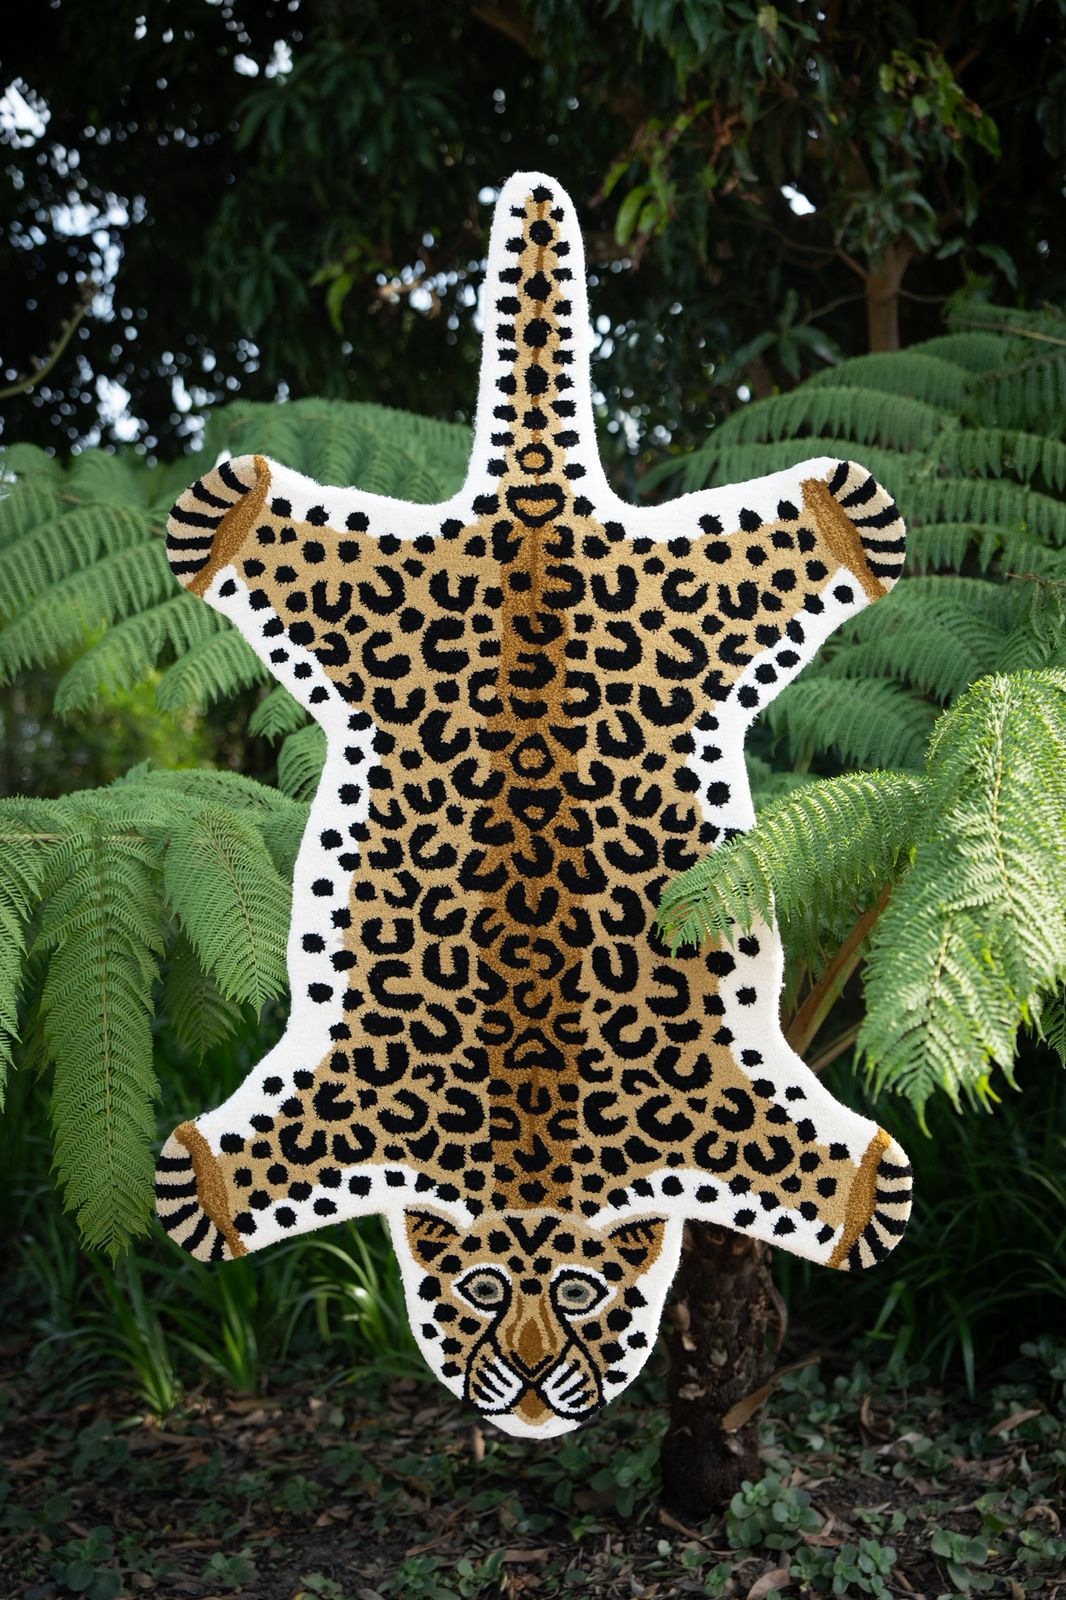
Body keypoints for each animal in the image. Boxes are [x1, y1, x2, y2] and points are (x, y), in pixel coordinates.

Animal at [155, 170, 912, 1437]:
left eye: (578, 1296)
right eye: (473, 1291)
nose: (524, 1382)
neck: (530, 1161)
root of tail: (536, 501)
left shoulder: (718, 1105)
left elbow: (799, 1165)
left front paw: (857, 1188)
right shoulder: (349, 1096)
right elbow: (265, 1157)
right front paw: (210, 1180)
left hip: (681, 592)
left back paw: (837, 511)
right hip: (380, 593)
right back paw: (238, 509)